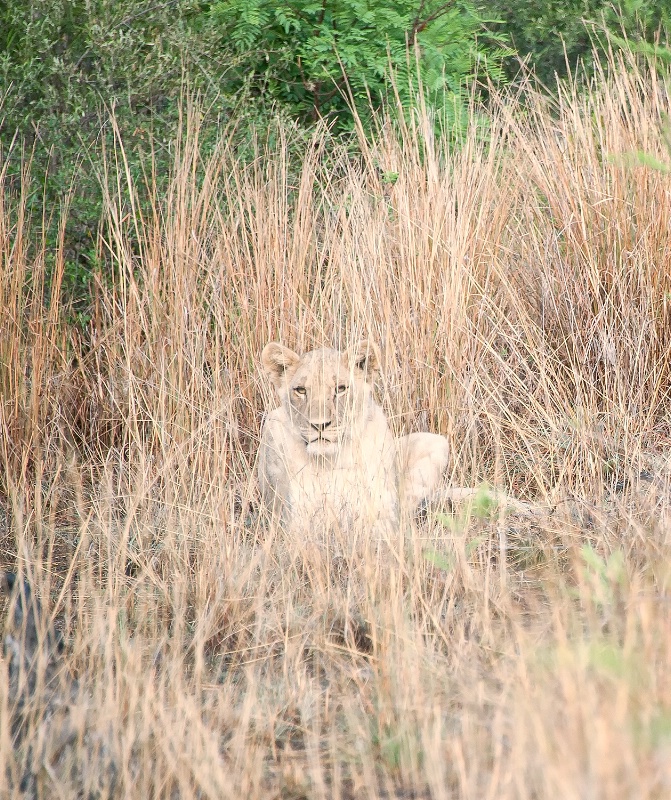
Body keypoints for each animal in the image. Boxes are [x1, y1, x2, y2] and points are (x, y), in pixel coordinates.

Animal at [256, 338, 452, 532]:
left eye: (340, 389)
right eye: (301, 390)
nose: (320, 425)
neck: (330, 461)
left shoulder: (384, 517)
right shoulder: (292, 523)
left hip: (436, 442)